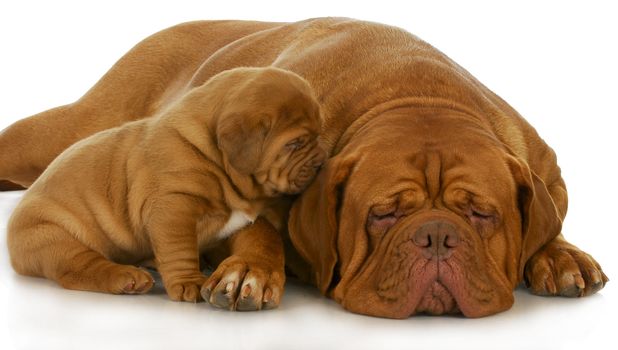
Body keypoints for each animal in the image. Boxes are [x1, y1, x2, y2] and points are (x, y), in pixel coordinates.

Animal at [7, 67, 324, 310]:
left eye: (319, 133)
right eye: (294, 144)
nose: (322, 163)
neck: (211, 154)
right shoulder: (172, 208)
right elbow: (180, 250)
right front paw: (188, 282)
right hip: (52, 238)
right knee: (80, 267)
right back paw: (127, 277)